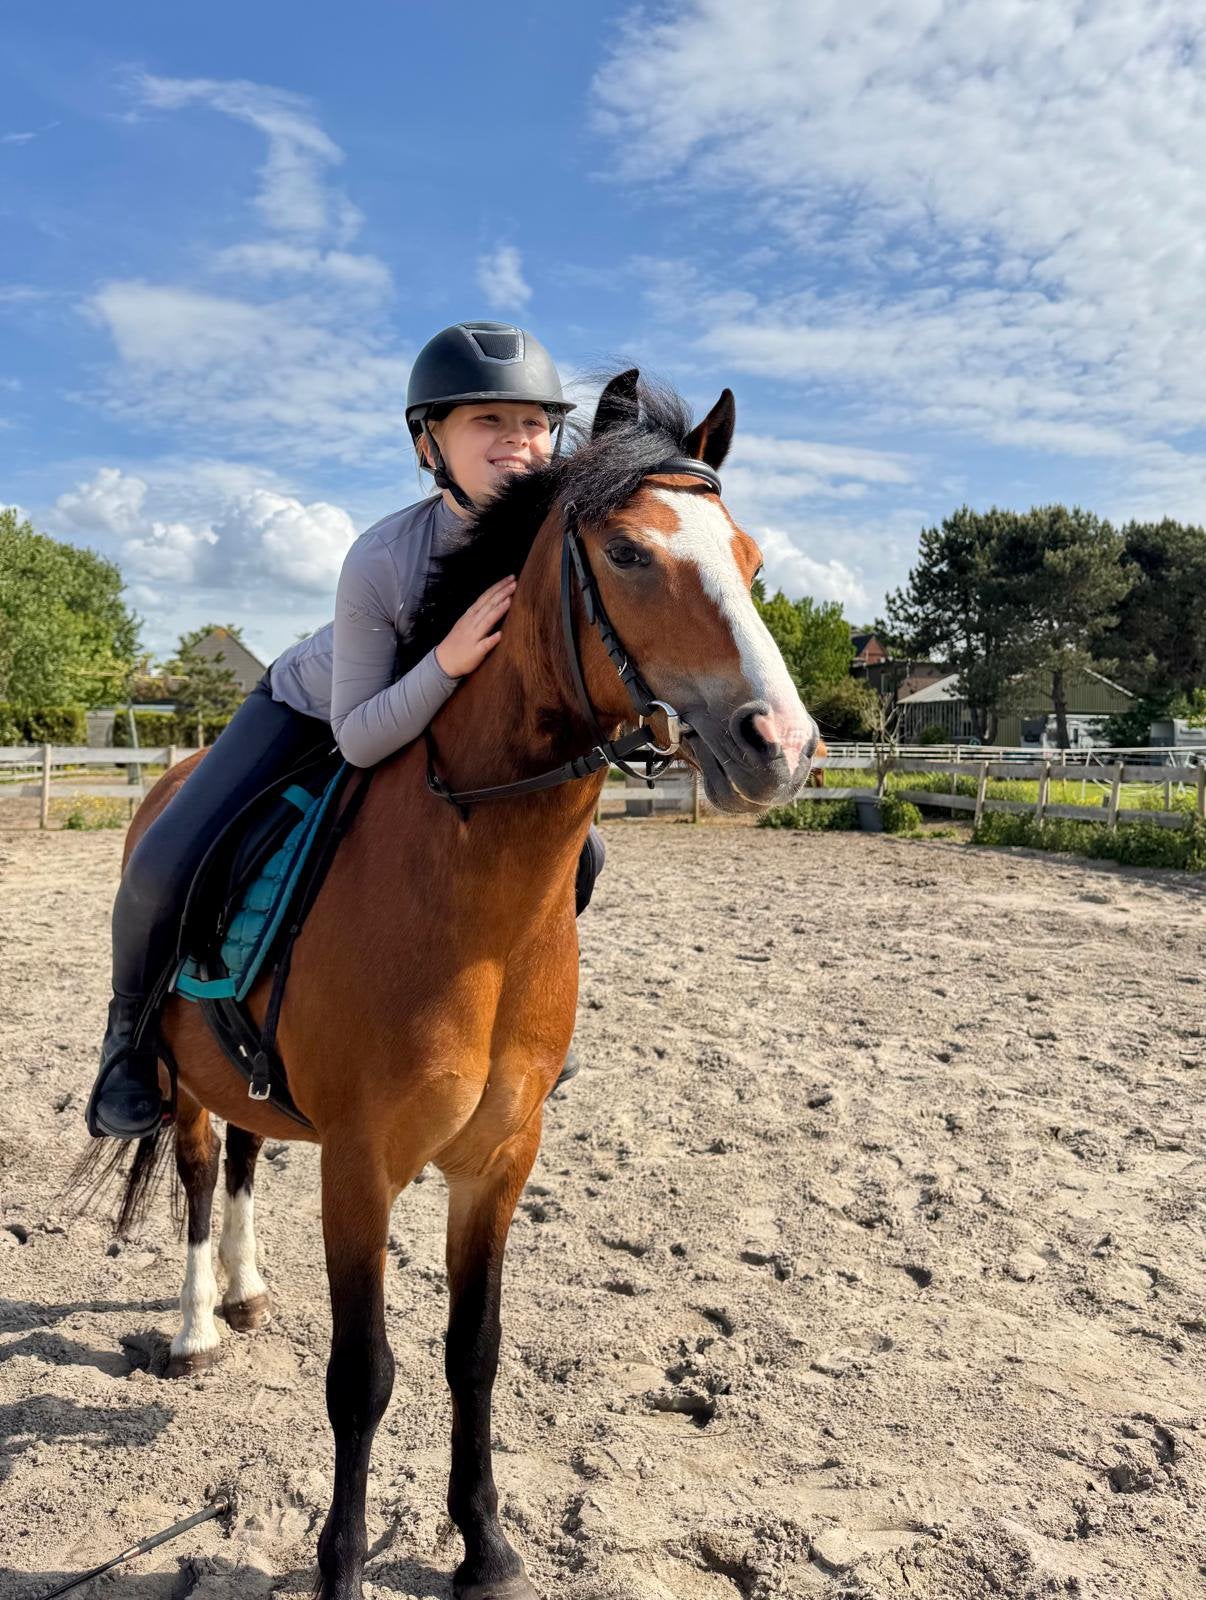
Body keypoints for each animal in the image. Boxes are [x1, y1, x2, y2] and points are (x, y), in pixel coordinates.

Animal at [77, 371, 818, 1600]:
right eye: (628, 553)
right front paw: (339, 1565)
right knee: (193, 1169)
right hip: (178, 1076)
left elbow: (475, 1351)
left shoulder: (499, 1162)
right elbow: (361, 1374)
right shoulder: (363, 1165)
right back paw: (194, 1327)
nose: (785, 747)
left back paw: (242, 1286)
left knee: (244, 1156)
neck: (473, 901)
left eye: (752, 560)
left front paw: (487, 1548)